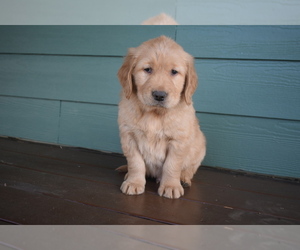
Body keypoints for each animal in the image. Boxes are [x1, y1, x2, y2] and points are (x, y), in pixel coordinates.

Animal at [117, 35, 206, 199]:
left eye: (174, 72)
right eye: (147, 69)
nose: (159, 95)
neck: (155, 114)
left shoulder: (178, 140)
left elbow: (172, 165)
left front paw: (171, 186)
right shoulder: (129, 137)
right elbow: (136, 163)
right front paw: (134, 182)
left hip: (200, 148)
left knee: (189, 169)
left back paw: (183, 179)